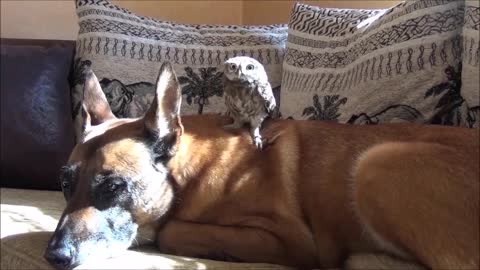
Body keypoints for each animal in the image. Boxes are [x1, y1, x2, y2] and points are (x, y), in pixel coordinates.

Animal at [43, 62, 478, 270]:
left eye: (113, 187)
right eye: (64, 184)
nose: (54, 257)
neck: (188, 177)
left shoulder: (289, 239)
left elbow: (171, 231)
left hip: (377, 161)